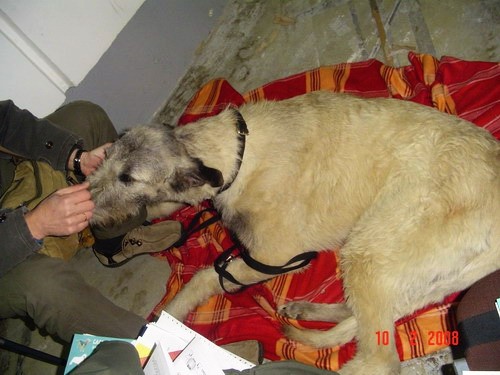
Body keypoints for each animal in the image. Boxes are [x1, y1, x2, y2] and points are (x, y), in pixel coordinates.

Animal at [90, 92, 500, 375]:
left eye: (128, 178)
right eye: (107, 155)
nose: (89, 208)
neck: (236, 152)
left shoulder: (274, 256)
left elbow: (204, 276)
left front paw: (164, 319)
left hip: (372, 246)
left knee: (379, 359)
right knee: (364, 313)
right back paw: (308, 309)